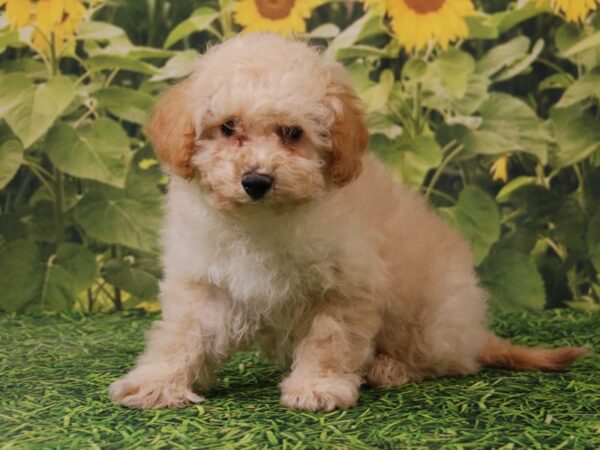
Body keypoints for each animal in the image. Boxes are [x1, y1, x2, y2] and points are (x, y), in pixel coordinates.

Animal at [110, 32, 588, 412]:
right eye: (228, 127)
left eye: (292, 133)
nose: (256, 180)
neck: (262, 219)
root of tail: (475, 333)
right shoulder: (205, 278)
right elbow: (182, 334)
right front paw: (157, 383)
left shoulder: (344, 284)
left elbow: (329, 341)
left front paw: (317, 387)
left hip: (434, 320)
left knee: (443, 361)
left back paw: (390, 368)